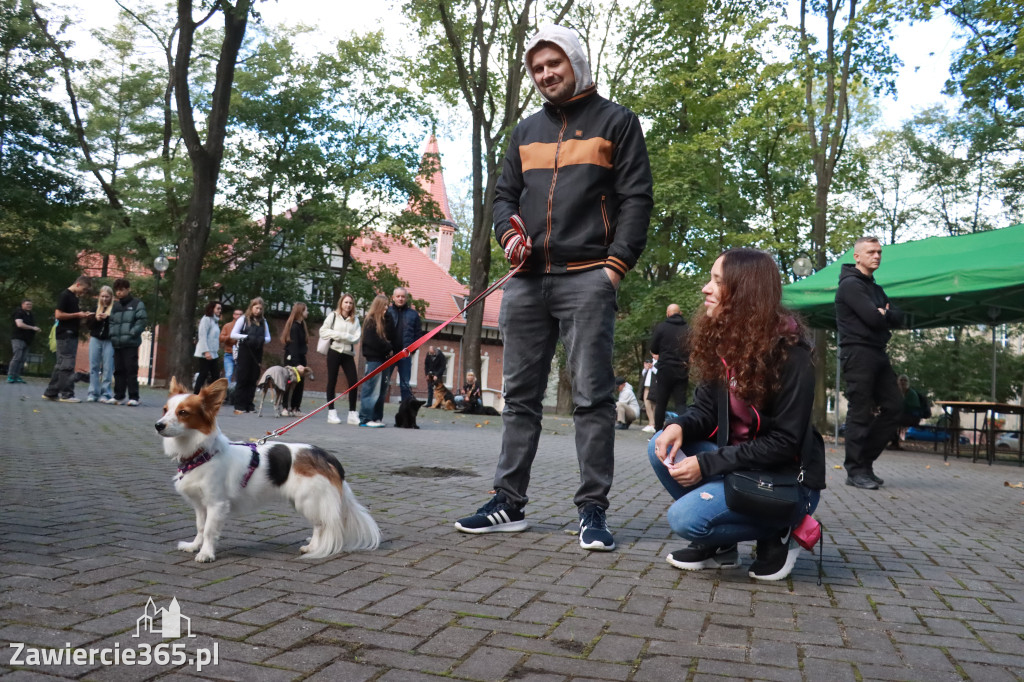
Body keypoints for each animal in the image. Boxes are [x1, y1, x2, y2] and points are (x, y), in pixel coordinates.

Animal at [157, 374, 382, 561]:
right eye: (165, 410)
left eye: (183, 413)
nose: (158, 425)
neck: (201, 454)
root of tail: (325, 456)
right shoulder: (200, 505)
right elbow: (201, 528)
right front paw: (194, 546)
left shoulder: (216, 504)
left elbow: (210, 530)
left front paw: (206, 553)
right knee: (319, 525)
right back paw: (311, 547)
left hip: (308, 500)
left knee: (321, 525)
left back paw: (315, 548)